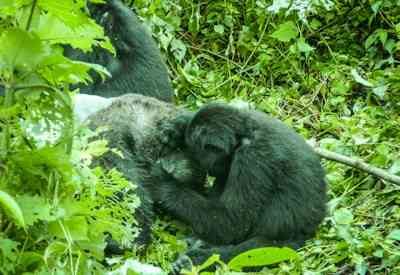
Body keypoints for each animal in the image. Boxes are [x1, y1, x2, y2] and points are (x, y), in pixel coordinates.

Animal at [152, 102, 326, 268]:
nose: (211, 171)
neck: (244, 136)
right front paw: (178, 126)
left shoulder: (253, 159)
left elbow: (233, 224)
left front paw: (162, 182)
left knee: (257, 248)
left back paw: (195, 259)